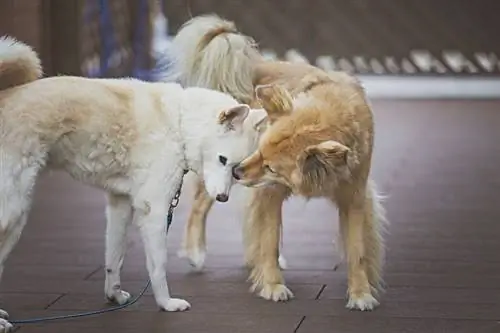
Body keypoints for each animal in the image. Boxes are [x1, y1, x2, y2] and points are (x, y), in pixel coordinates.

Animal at [0, 37, 266, 332]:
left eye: (236, 169)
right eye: (222, 160)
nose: (222, 198)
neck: (179, 125)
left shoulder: (120, 204)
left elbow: (114, 257)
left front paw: (114, 295)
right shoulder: (154, 209)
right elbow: (158, 265)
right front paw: (166, 303)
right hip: (13, 214)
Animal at [168, 13, 386, 308]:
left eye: (271, 166)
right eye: (259, 150)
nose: (237, 172)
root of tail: (255, 64)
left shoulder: (354, 197)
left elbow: (357, 249)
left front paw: (361, 293)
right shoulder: (269, 194)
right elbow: (269, 240)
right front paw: (273, 286)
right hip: (219, 170)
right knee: (200, 205)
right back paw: (196, 252)